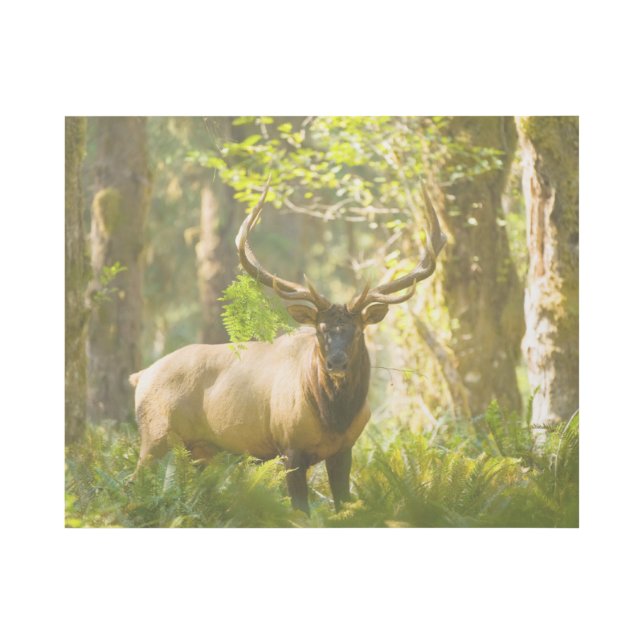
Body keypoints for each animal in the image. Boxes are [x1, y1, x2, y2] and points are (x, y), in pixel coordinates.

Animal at [129, 180, 446, 515]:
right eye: (320, 330)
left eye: (359, 331)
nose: (336, 363)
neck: (333, 418)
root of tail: (141, 375)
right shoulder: (288, 447)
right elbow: (300, 512)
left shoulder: (344, 449)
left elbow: (343, 505)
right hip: (155, 436)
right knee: (133, 482)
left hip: (199, 451)